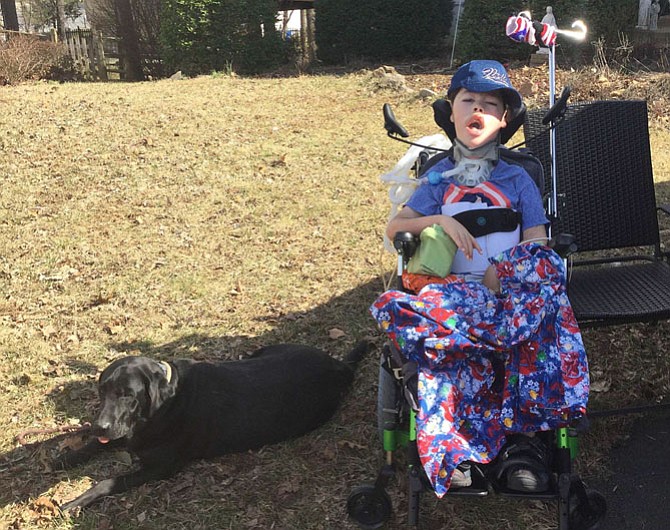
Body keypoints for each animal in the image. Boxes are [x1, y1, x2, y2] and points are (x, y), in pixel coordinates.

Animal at [56, 340, 372, 510]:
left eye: (127, 395)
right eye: (102, 391)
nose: (99, 425)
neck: (166, 401)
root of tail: (338, 365)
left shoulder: (162, 466)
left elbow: (109, 480)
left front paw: (77, 500)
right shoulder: (130, 432)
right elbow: (97, 445)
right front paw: (67, 458)